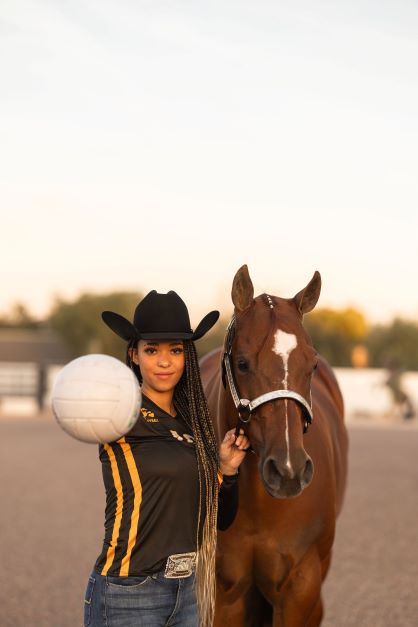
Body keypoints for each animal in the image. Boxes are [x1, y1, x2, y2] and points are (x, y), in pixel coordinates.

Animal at [201, 266, 348, 627]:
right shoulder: (226, 595)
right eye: (242, 363)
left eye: (311, 365)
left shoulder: (300, 588)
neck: (260, 508)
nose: (288, 471)